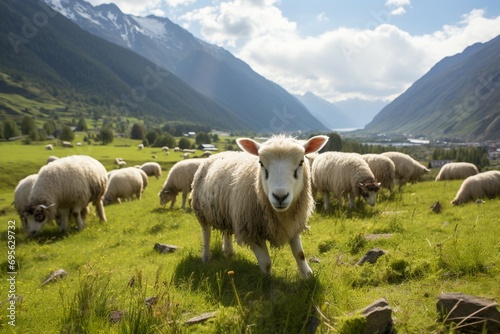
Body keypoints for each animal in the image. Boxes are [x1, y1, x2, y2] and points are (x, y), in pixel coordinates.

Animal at [191, 134, 328, 278]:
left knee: (226, 232)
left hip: (227, 212)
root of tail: (218, 154)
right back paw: (206, 257)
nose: (280, 197)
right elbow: (266, 262)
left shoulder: (293, 224)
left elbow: (300, 254)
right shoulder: (250, 230)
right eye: (261, 163)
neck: (280, 215)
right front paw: (266, 279)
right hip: (201, 211)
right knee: (206, 235)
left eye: (301, 162)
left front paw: (307, 275)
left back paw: (229, 252)